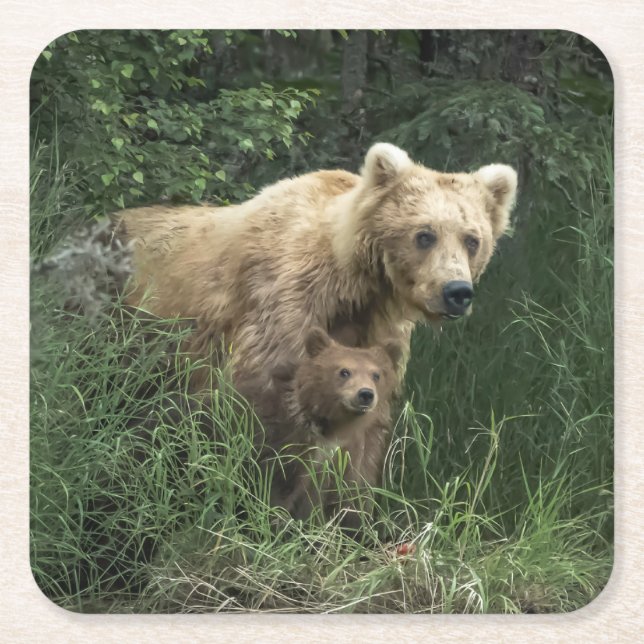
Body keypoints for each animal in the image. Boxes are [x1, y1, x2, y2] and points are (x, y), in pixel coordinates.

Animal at [113, 142, 517, 393]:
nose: (456, 292)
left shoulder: (374, 328)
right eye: (425, 235)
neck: (355, 284)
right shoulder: (283, 308)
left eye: (472, 239)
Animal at [236, 327, 403, 533]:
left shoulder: (340, 457)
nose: (365, 394)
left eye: (376, 374)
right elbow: (276, 489)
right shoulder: (284, 443)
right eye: (344, 371)